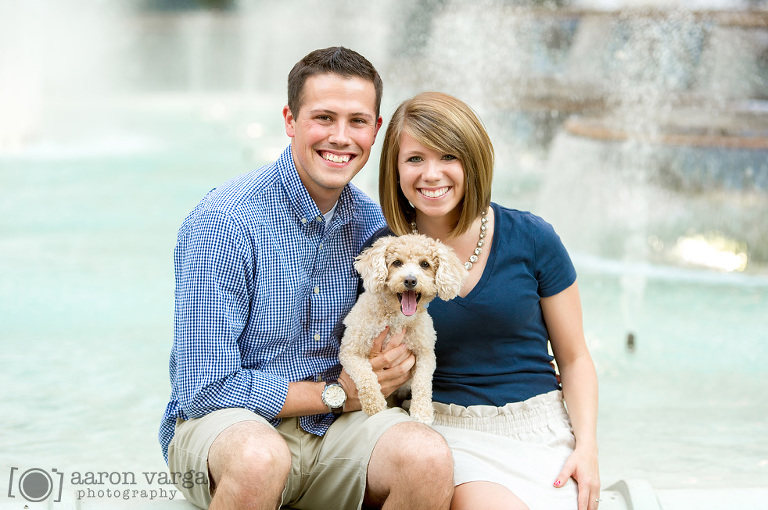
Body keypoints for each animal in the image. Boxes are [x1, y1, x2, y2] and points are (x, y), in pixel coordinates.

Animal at [342, 234, 468, 422]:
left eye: (425, 264)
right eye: (397, 263)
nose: (410, 280)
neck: (397, 319)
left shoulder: (425, 354)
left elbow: (422, 383)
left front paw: (422, 412)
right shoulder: (350, 351)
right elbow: (365, 376)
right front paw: (375, 405)